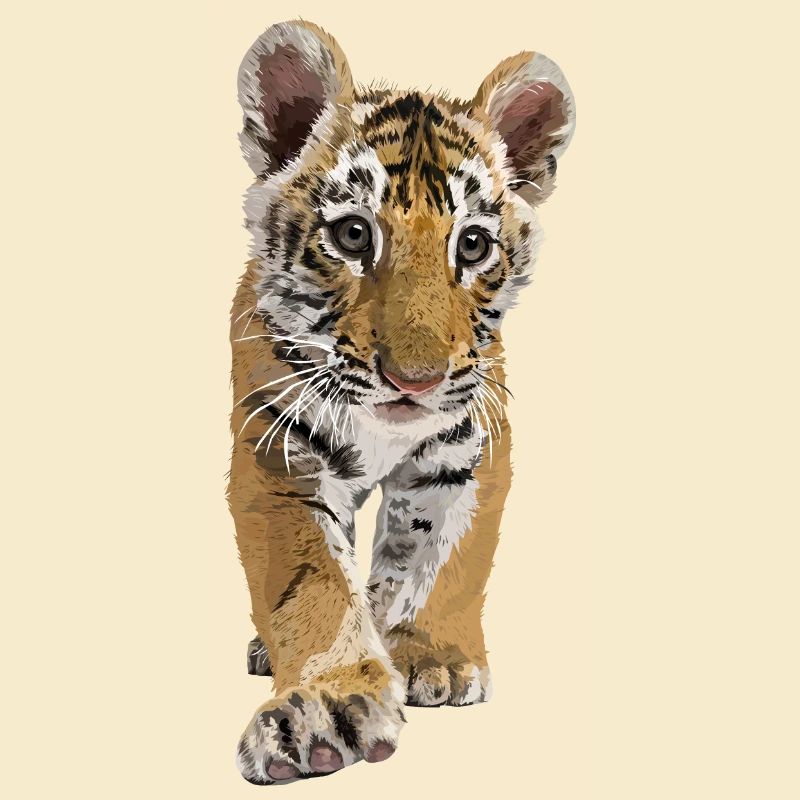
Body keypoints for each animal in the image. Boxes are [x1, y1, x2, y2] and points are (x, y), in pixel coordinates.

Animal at [229, 19, 575, 784]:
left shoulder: (470, 447)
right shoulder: (278, 455)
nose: (414, 380)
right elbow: (314, 584)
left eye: (472, 245)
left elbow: (442, 557)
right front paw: (325, 708)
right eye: (354, 234)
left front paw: (431, 656)